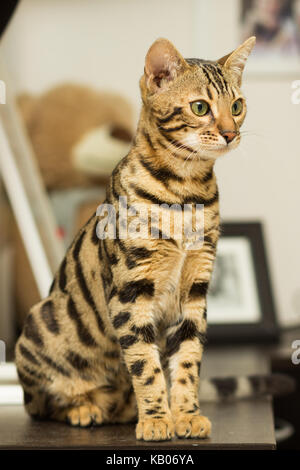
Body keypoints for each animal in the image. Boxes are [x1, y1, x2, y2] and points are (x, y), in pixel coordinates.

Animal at [15, 35, 272, 440]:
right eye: (200, 107)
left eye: (237, 105)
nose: (231, 133)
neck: (186, 193)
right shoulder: (131, 291)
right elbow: (145, 365)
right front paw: (155, 419)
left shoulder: (195, 289)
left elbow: (186, 362)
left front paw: (185, 415)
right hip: (37, 326)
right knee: (39, 403)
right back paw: (84, 407)